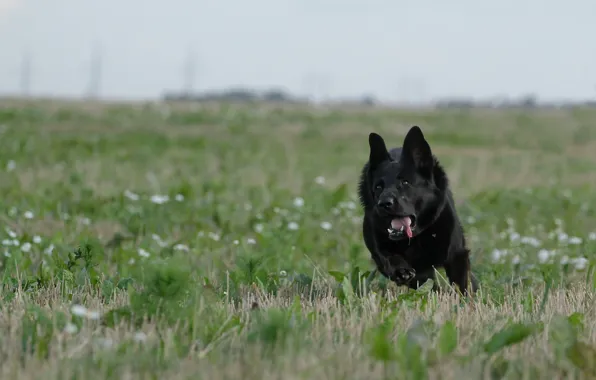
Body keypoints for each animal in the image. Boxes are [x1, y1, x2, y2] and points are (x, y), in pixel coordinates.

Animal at [356, 126, 478, 296]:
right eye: (378, 187)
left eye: (405, 182)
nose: (383, 204)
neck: (416, 236)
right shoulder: (381, 252)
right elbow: (391, 260)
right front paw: (402, 271)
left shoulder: (457, 255)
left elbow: (463, 285)